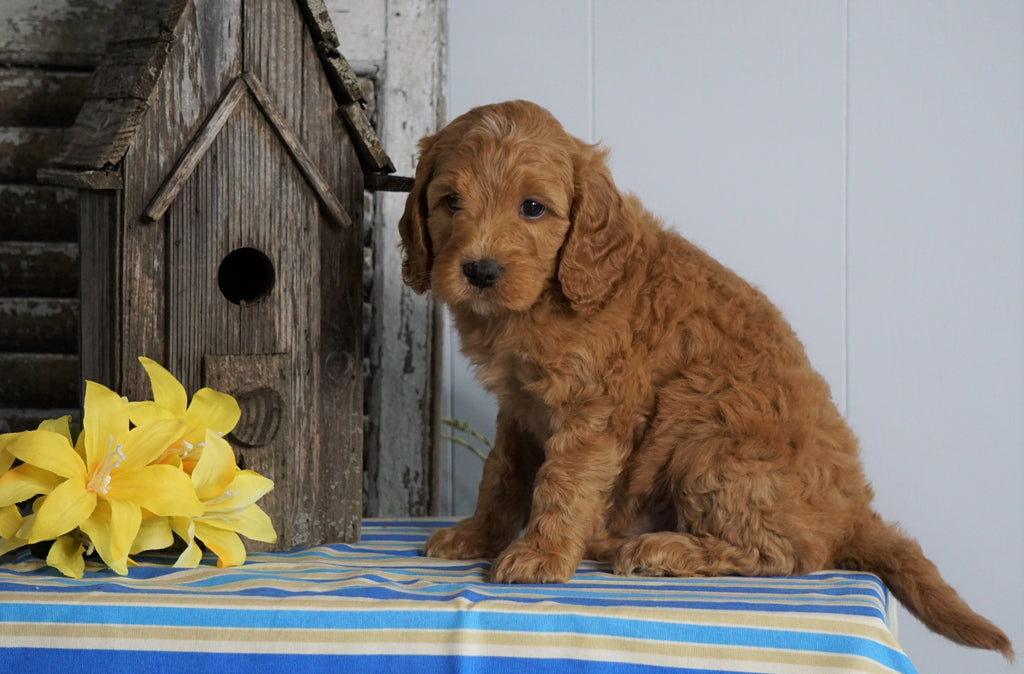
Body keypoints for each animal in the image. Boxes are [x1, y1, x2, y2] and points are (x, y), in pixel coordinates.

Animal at [395, 99, 1011, 655]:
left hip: (705, 435)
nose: (480, 271)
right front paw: (476, 535)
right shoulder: (521, 409)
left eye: (532, 208)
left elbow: (563, 481)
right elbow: (501, 474)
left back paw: (659, 551)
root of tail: (853, 513)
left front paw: (540, 555)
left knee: (787, 556)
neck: (551, 295)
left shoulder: (595, 407)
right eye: (451, 202)